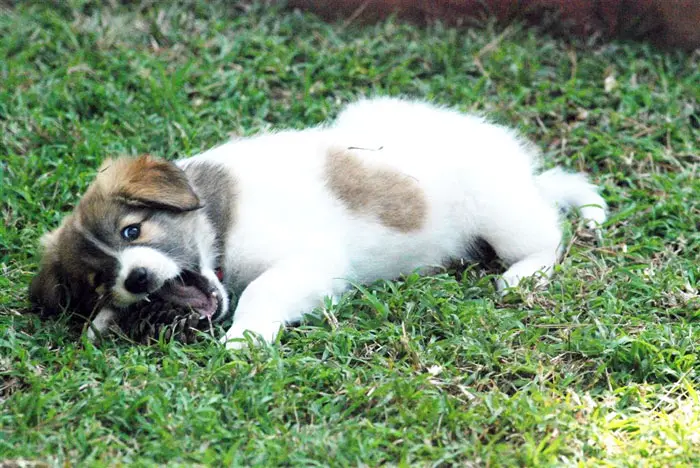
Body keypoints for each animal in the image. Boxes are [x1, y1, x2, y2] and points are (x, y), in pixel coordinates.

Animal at [28, 98, 608, 348]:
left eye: (133, 231)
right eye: (99, 278)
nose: (137, 279)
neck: (218, 221)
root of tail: (523, 171)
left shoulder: (311, 261)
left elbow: (261, 291)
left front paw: (245, 338)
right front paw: (106, 320)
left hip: (499, 209)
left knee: (547, 237)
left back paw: (523, 274)